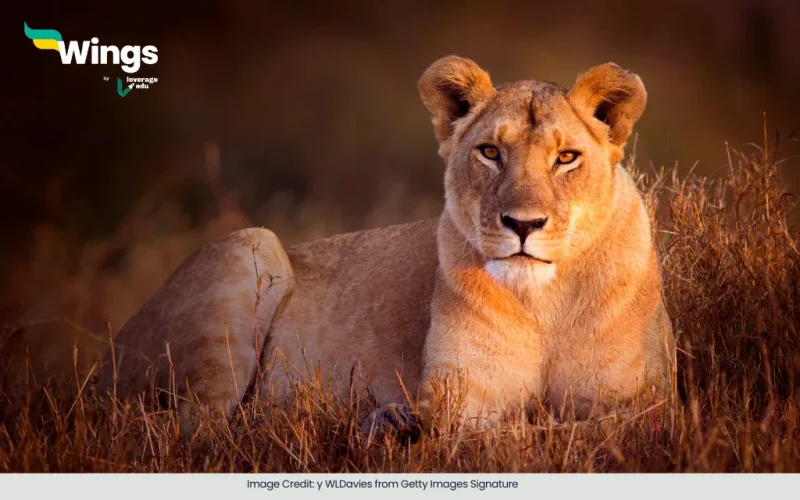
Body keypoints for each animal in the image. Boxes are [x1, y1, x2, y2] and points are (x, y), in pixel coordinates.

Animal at [100, 56, 674, 437]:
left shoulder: (640, 403)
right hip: (250, 245)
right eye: (490, 152)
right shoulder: (461, 400)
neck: (543, 303)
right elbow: (503, 434)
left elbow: (583, 429)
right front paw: (397, 420)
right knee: (194, 431)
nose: (523, 224)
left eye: (567, 157)